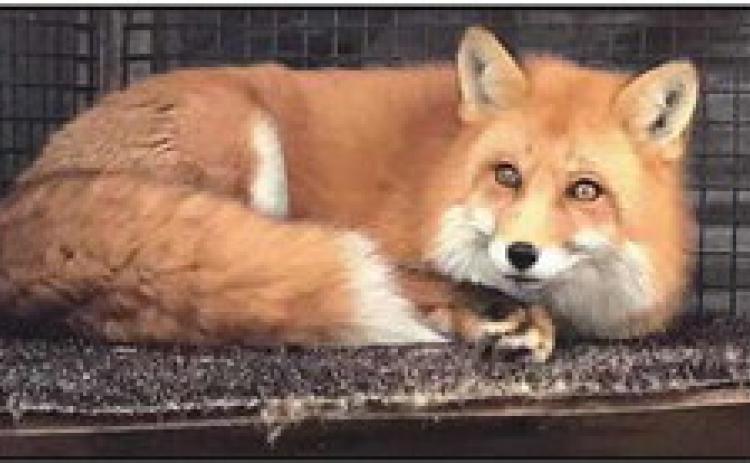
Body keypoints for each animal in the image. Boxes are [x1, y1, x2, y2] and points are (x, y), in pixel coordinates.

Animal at [0, 27, 698, 362]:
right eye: (507, 175)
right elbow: (421, 279)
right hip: (243, 141)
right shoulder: (389, 244)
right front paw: (494, 313)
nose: (520, 254)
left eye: (585, 190)